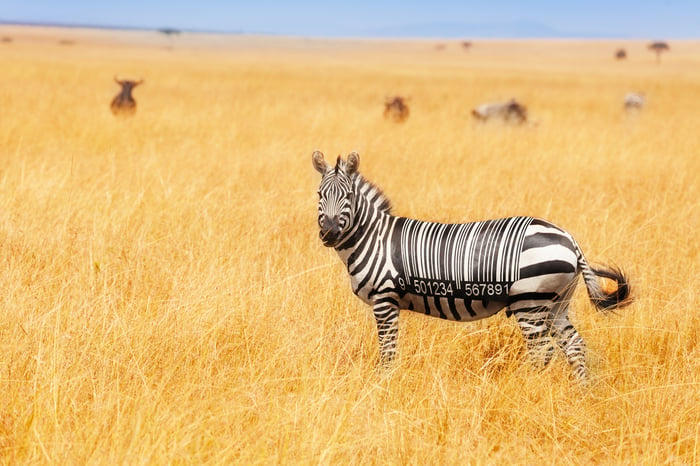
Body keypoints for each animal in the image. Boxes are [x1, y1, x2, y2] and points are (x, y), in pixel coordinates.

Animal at [312, 151, 628, 380]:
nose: (329, 233)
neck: (373, 238)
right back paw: (581, 391)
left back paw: (530, 390)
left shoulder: (384, 300)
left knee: (542, 352)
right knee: (574, 346)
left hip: (530, 302)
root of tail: (570, 239)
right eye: (319, 195)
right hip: (557, 302)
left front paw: (384, 383)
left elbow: (387, 351)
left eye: (348, 196)